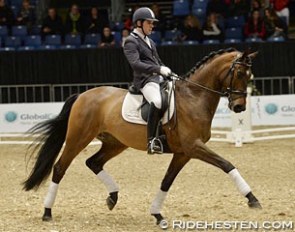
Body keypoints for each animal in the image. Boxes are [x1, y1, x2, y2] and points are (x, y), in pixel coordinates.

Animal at [23, 48, 262, 226]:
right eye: (239, 74)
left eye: (250, 76)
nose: (239, 107)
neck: (194, 97)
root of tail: (82, 94)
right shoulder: (193, 147)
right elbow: (227, 164)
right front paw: (252, 199)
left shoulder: (183, 153)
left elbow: (166, 181)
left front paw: (157, 214)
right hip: (77, 139)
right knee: (59, 168)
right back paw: (47, 212)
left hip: (115, 143)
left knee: (93, 162)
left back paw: (112, 197)